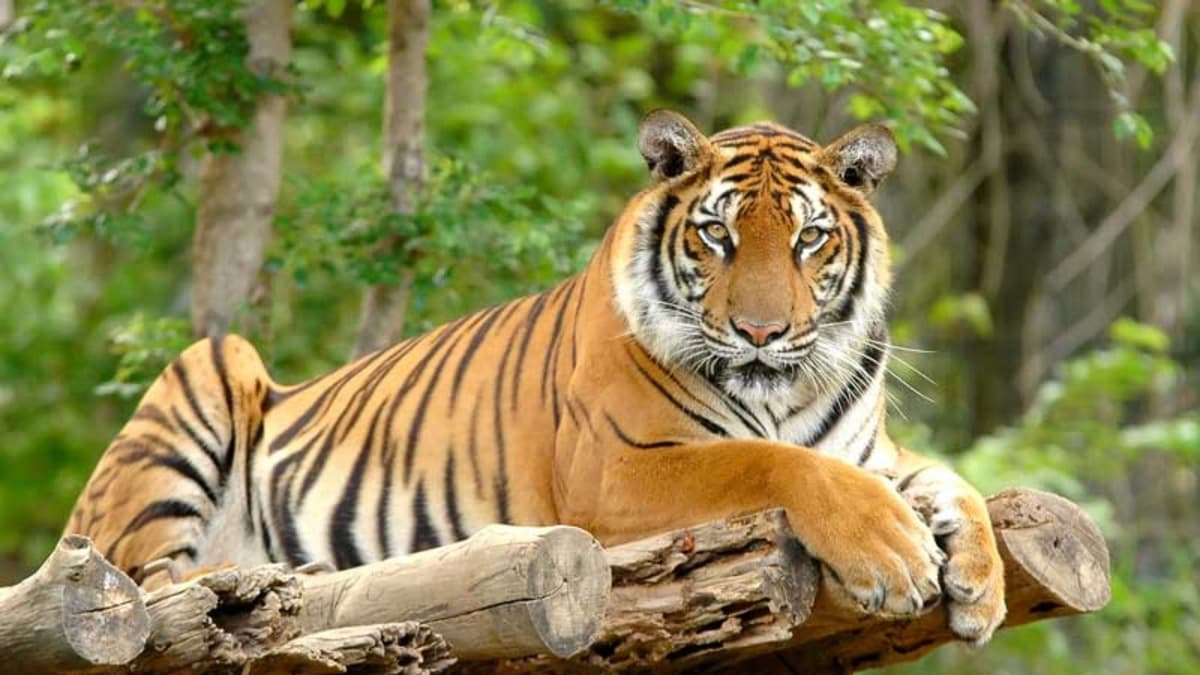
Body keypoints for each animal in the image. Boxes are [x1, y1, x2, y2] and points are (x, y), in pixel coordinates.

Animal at [66, 110, 1006, 644]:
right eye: (718, 235)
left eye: (810, 238)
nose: (761, 332)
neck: (785, 391)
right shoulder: (618, 470)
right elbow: (771, 461)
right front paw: (894, 555)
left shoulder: (871, 452)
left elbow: (952, 480)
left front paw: (982, 581)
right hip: (208, 373)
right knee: (149, 583)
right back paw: (270, 577)